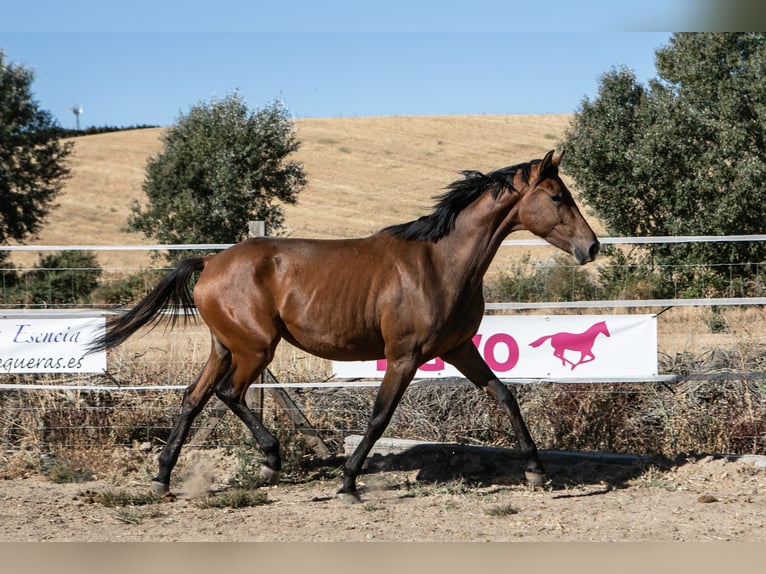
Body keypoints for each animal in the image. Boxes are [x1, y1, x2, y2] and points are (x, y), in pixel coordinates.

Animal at [90, 149, 599, 503]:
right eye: (558, 196)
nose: (591, 247)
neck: (441, 263)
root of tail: (211, 261)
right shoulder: (404, 355)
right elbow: (379, 416)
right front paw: (349, 482)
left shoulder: (458, 348)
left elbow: (504, 395)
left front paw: (536, 471)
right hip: (255, 349)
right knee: (227, 394)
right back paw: (270, 460)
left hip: (224, 347)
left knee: (192, 399)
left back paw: (162, 478)